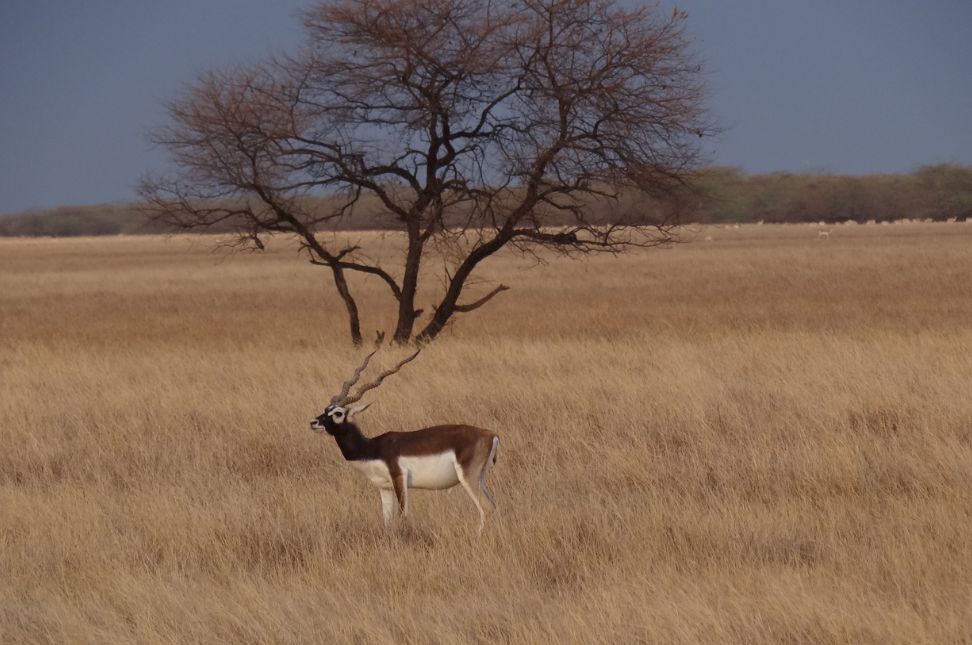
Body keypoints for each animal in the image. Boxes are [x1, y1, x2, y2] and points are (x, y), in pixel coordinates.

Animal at [312, 350, 502, 532]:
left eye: (338, 413)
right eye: (326, 409)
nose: (313, 422)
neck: (371, 448)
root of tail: (491, 434)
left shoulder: (399, 478)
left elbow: (403, 515)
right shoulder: (384, 487)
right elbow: (387, 520)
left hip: (468, 477)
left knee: (486, 507)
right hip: (480, 478)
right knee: (493, 505)